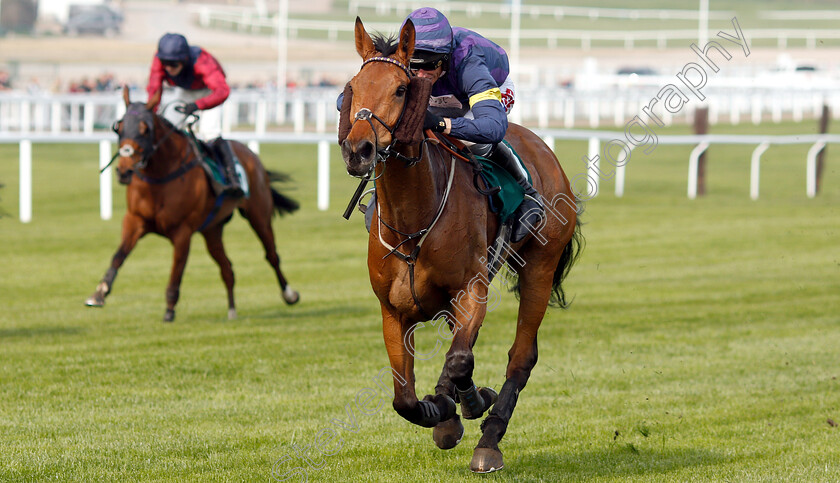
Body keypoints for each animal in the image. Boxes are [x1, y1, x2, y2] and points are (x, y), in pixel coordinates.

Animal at [85, 88, 300, 322]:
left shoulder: (183, 231)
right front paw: (99, 293)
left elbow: (177, 271)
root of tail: (251, 154)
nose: (124, 171)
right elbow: (118, 256)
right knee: (227, 268)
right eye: (118, 127)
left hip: (258, 214)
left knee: (272, 255)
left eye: (145, 129)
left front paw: (169, 311)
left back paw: (289, 294)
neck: (161, 176)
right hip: (212, 230)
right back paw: (232, 310)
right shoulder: (135, 220)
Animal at [342, 18, 584, 472]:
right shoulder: (392, 310)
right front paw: (443, 411)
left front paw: (467, 405)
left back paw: (489, 439)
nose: (358, 150)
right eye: (352, 86)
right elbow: (405, 398)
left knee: (520, 357)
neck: (413, 222)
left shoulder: (472, 290)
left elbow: (459, 361)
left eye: (400, 89)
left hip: (540, 268)